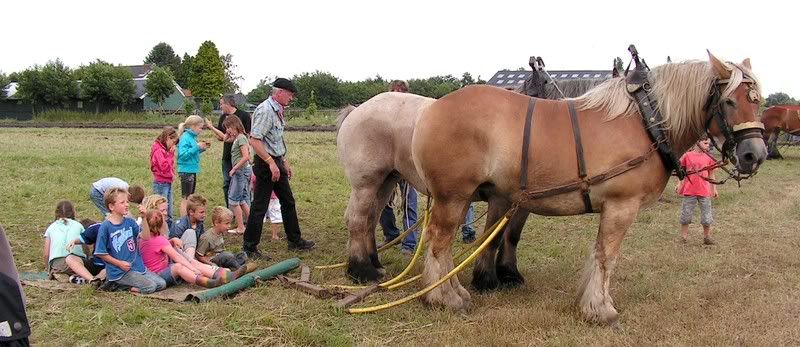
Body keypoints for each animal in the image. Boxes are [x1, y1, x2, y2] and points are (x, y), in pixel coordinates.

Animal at [410, 53, 764, 324]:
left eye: (757, 102)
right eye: (729, 101)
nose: (755, 154)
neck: (645, 120)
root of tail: (431, 109)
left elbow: (599, 254)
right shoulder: (621, 205)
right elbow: (607, 256)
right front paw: (600, 308)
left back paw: (452, 291)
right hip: (453, 196)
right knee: (439, 244)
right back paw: (443, 298)